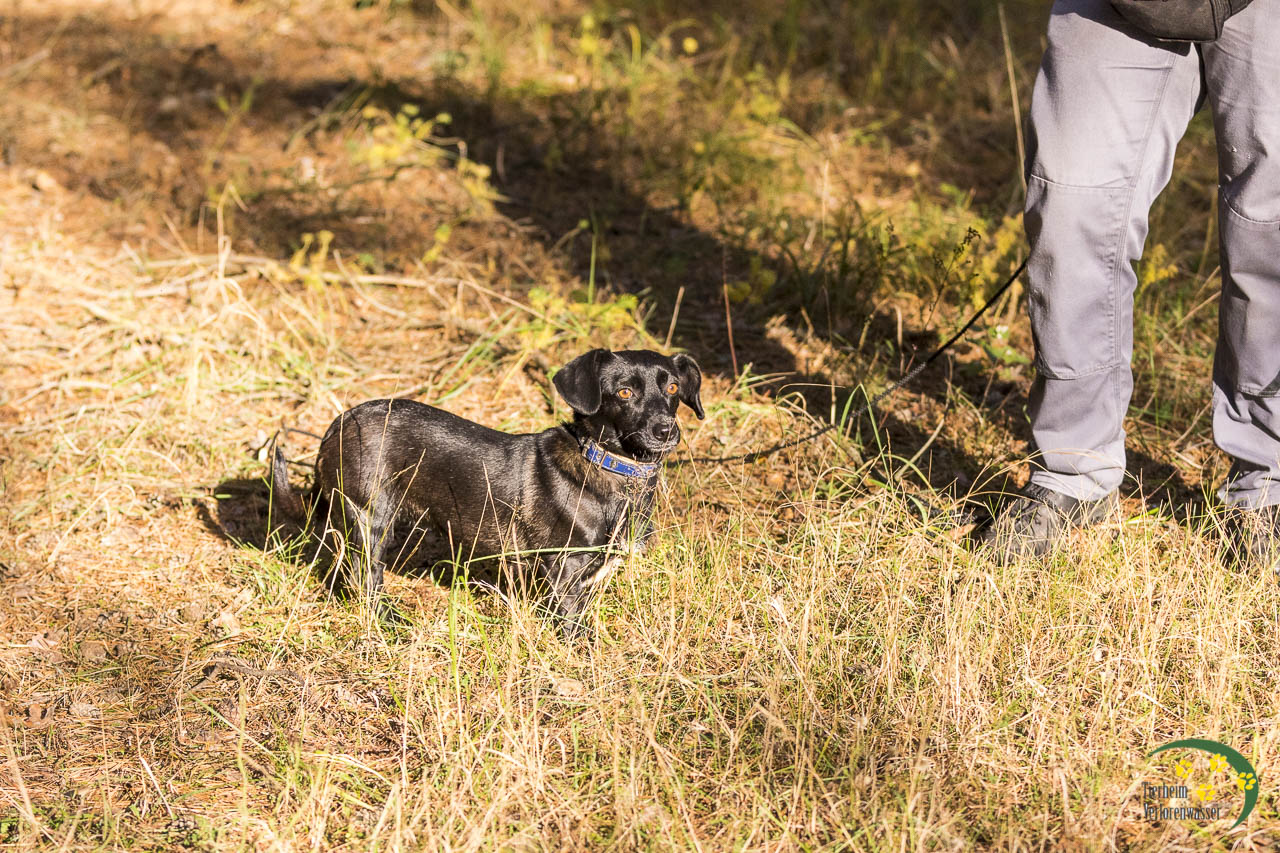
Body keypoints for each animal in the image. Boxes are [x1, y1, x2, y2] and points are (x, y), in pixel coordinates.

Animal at [270, 348, 703, 636]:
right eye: (624, 392)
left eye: (673, 388)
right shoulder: (564, 569)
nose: (666, 431)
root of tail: (337, 423)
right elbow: (572, 625)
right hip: (370, 518)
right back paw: (390, 621)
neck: (611, 466)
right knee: (365, 578)